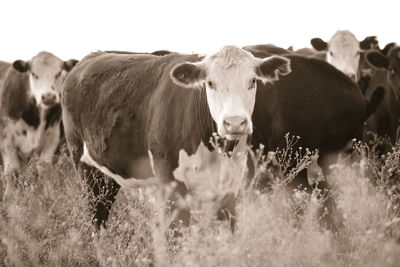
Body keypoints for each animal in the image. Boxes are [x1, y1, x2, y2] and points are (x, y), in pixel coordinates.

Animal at [0, 51, 78, 200]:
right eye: (34, 74)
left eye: (58, 73)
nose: (48, 97)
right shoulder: (6, 140)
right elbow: (11, 171)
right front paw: (11, 199)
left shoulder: (52, 137)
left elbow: (44, 167)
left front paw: (49, 195)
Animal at [60, 45, 290, 232]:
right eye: (210, 83)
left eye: (252, 81)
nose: (234, 122)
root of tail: (87, 60)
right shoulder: (171, 182)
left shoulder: (231, 185)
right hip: (85, 168)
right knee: (96, 216)